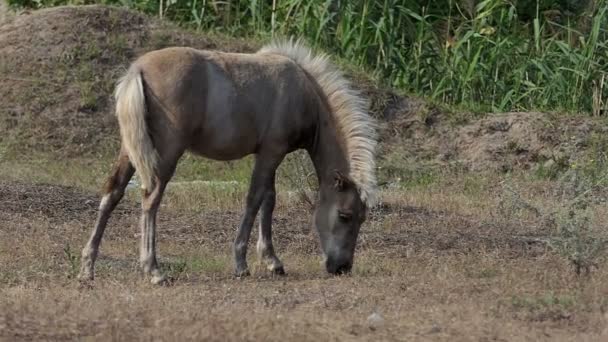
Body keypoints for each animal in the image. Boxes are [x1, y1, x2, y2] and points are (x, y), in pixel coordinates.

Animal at [78, 38, 378, 284]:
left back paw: (87, 268)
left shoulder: (268, 154)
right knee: (150, 200)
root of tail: (137, 70)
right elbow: (254, 200)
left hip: (130, 151)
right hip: (165, 156)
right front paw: (241, 264)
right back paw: (153, 271)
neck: (304, 92)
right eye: (345, 215)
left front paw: (272, 261)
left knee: (112, 193)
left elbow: (269, 199)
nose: (342, 267)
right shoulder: (272, 152)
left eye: (363, 218)